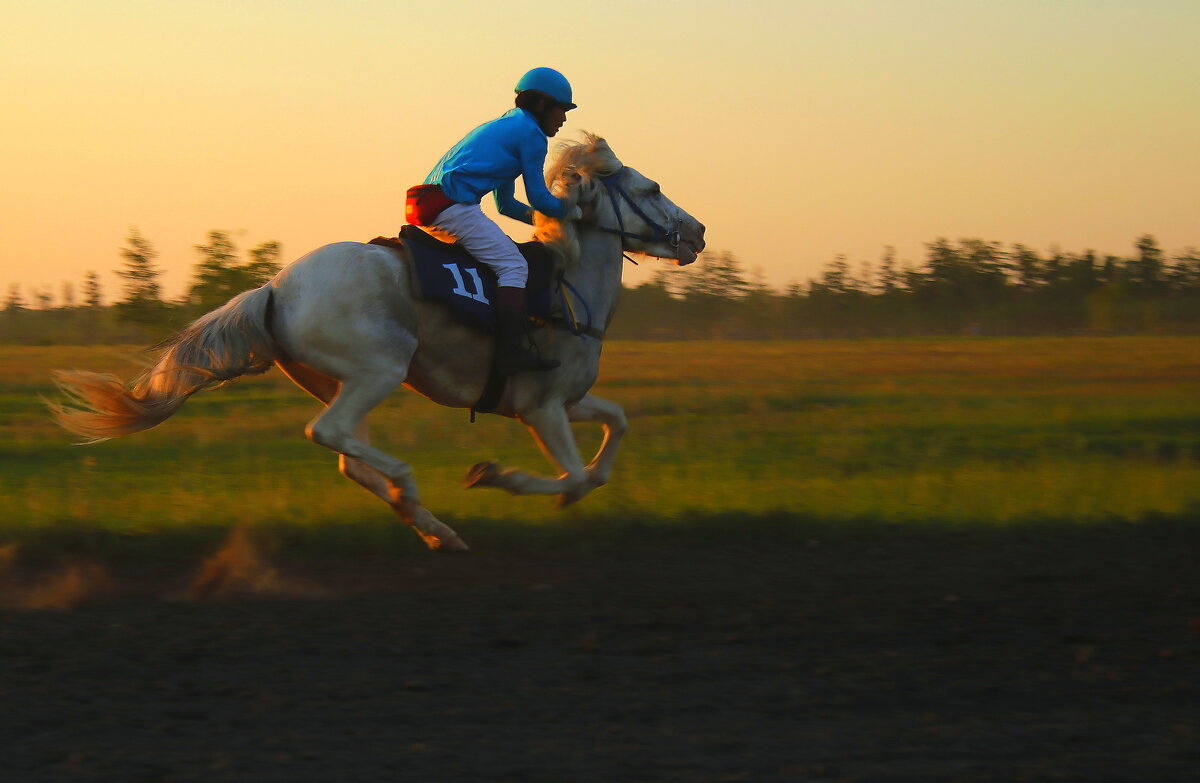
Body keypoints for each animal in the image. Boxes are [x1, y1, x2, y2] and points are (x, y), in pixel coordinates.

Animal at [51, 134, 705, 550]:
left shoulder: (569, 399)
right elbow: (573, 475)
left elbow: (615, 428)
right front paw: (497, 476)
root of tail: (275, 287)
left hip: (342, 380)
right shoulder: (540, 407)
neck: (569, 288)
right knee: (331, 435)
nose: (697, 232)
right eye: (652, 188)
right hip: (377, 372)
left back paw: (431, 524)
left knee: (348, 454)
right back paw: (412, 490)